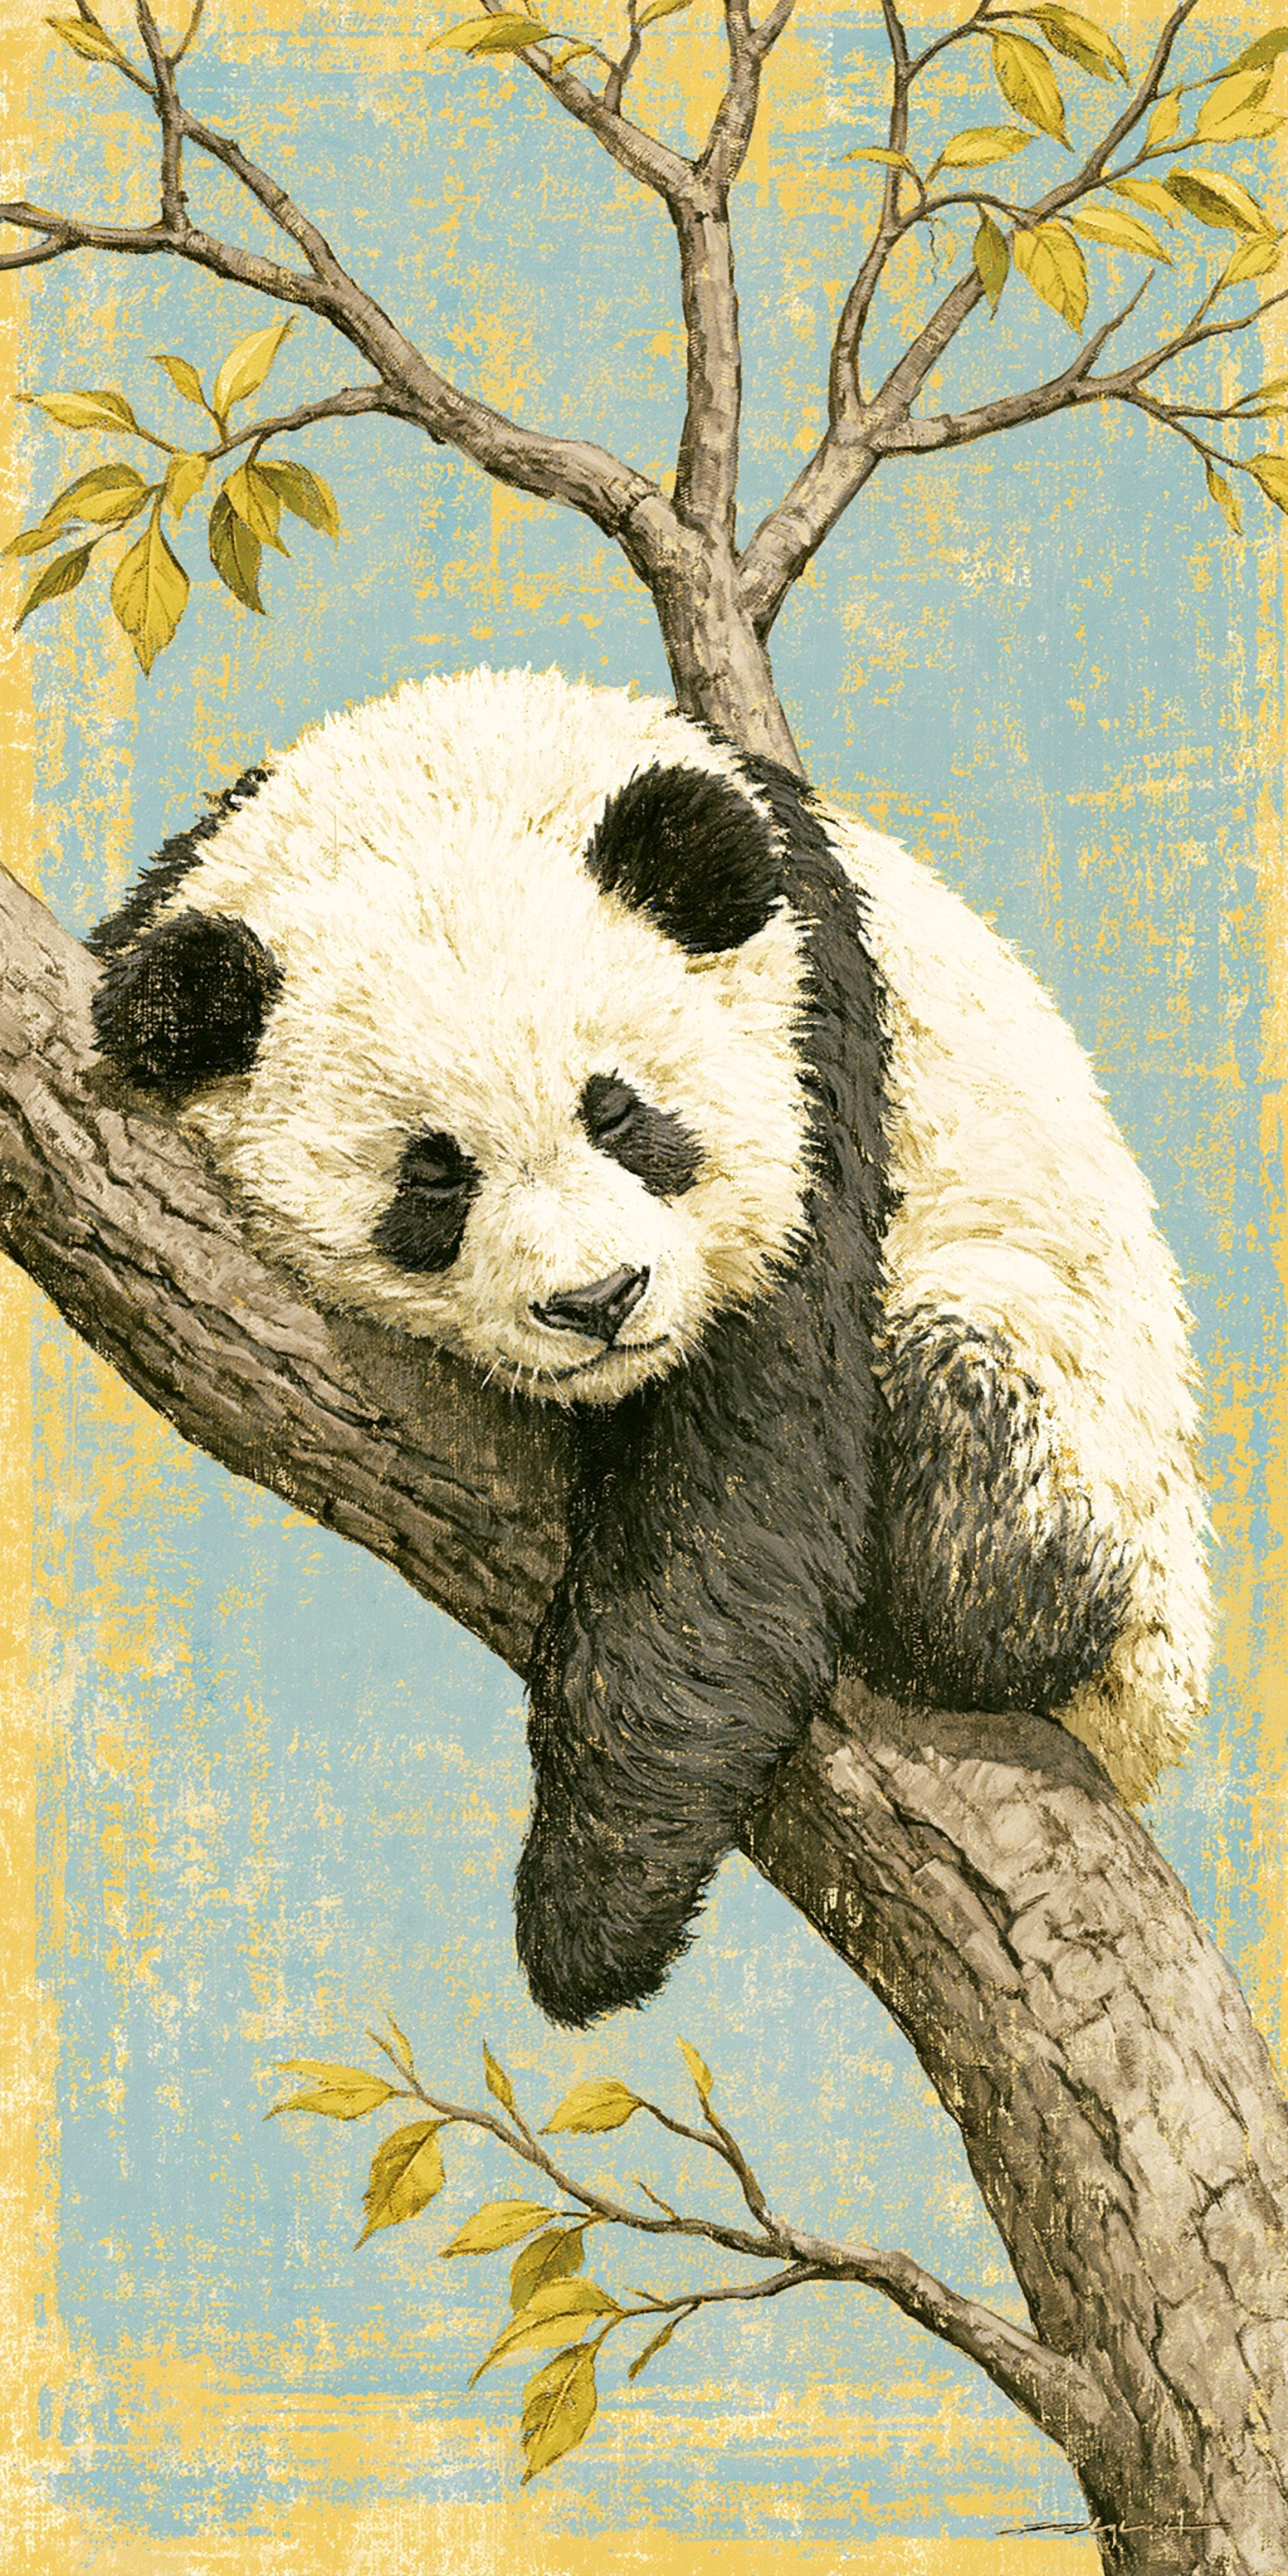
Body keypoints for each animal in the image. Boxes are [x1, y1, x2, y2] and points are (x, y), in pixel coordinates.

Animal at [88, 664, 1210, 2029]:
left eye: (620, 1111)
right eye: (433, 1177)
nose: (600, 1300)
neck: (445, 776)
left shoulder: (818, 1045)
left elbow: (741, 1501)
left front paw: (586, 1928)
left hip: (1090, 1427)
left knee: (986, 1521)